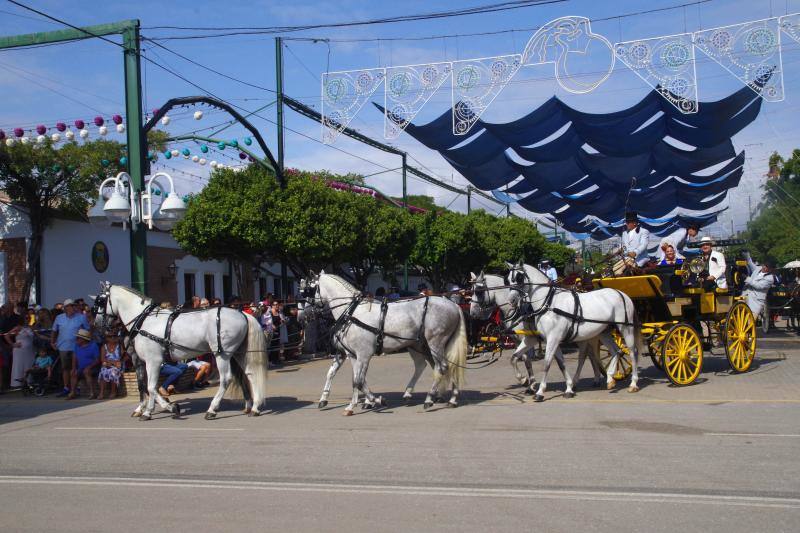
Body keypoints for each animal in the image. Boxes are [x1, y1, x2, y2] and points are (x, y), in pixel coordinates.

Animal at [300, 270, 468, 416]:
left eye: (309, 290)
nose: (302, 316)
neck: (352, 313)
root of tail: (453, 305)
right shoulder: (351, 354)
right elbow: (353, 379)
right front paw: (351, 405)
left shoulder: (363, 354)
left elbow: (359, 380)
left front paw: (376, 400)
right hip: (421, 345)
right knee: (437, 366)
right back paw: (449, 398)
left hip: (435, 343)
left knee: (442, 367)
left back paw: (430, 398)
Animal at [506, 260, 644, 402]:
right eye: (508, 279)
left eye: (519, 277)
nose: (511, 300)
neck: (549, 303)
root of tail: (622, 294)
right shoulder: (544, 339)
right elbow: (516, 357)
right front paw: (524, 379)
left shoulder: (553, 339)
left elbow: (547, 364)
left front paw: (540, 392)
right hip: (604, 332)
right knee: (616, 351)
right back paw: (610, 379)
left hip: (626, 328)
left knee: (632, 352)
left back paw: (633, 383)